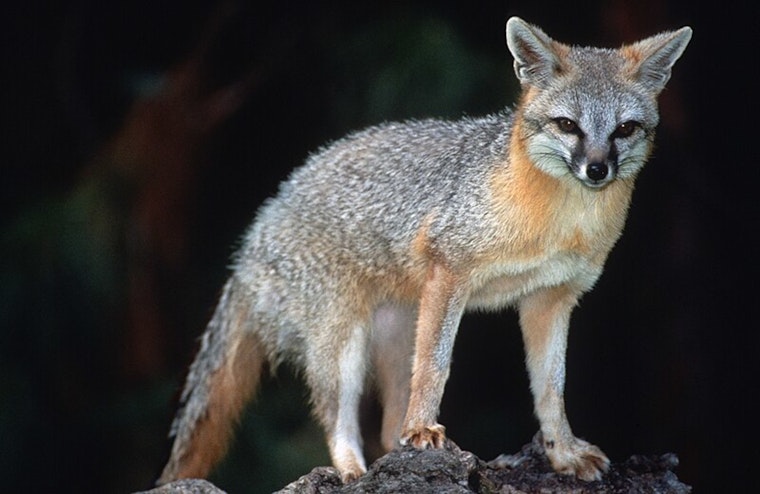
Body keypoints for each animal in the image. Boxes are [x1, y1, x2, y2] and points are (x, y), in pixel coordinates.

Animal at [158, 17, 692, 485]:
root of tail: (255, 233)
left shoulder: (550, 299)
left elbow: (551, 389)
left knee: (386, 423)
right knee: (338, 416)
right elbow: (436, 366)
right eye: (568, 125)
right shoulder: (449, 270)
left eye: (624, 130)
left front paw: (562, 453)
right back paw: (352, 471)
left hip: (395, 335)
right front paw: (423, 429)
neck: (560, 224)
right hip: (343, 344)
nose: (597, 170)